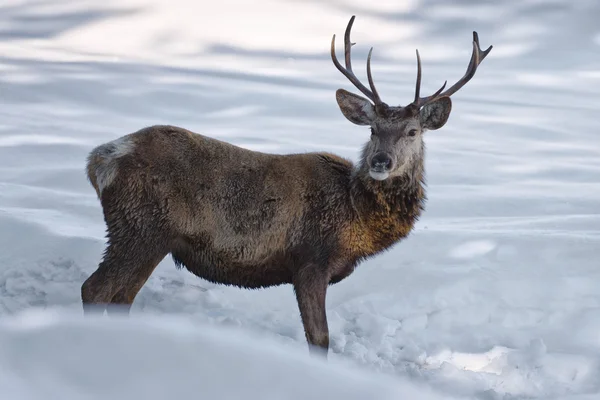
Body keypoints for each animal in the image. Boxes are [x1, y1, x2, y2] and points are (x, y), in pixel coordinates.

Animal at [79, 15, 492, 354]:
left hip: (146, 234)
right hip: (141, 227)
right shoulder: (310, 259)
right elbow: (319, 338)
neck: (355, 216)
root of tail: (100, 159)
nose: (380, 162)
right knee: (95, 289)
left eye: (412, 131)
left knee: (120, 297)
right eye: (373, 129)